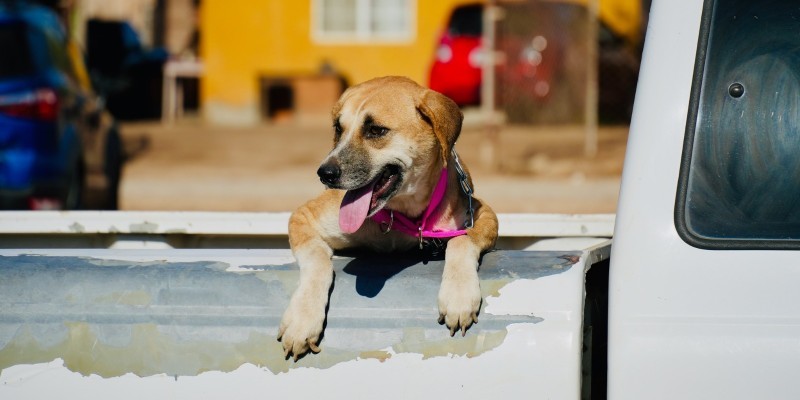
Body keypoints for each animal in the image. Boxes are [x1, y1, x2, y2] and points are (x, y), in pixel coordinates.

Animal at [278, 75, 496, 360]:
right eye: (338, 128)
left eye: (376, 131)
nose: (324, 174)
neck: (400, 214)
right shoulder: (303, 217)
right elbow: (317, 260)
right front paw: (303, 318)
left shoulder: (483, 215)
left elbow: (462, 240)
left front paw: (458, 294)